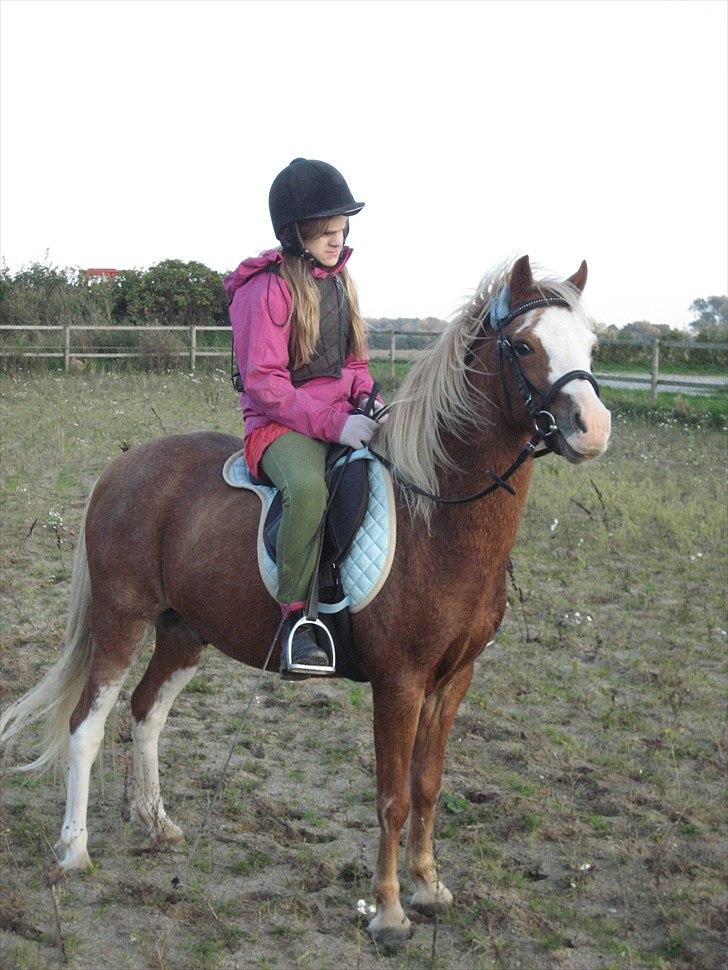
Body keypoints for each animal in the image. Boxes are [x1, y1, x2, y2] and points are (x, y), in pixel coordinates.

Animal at [2, 253, 612, 940]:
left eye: (591, 345)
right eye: (524, 345)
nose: (592, 429)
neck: (434, 516)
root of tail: (123, 468)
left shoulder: (453, 680)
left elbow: (428, 787)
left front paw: (429, 888)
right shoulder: (400, 682)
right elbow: (394, 795)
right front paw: (389, 912)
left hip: (185, 632)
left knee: (146, 711)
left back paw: (156, 823)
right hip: (122, 619)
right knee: (87, 724)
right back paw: (74, 850)